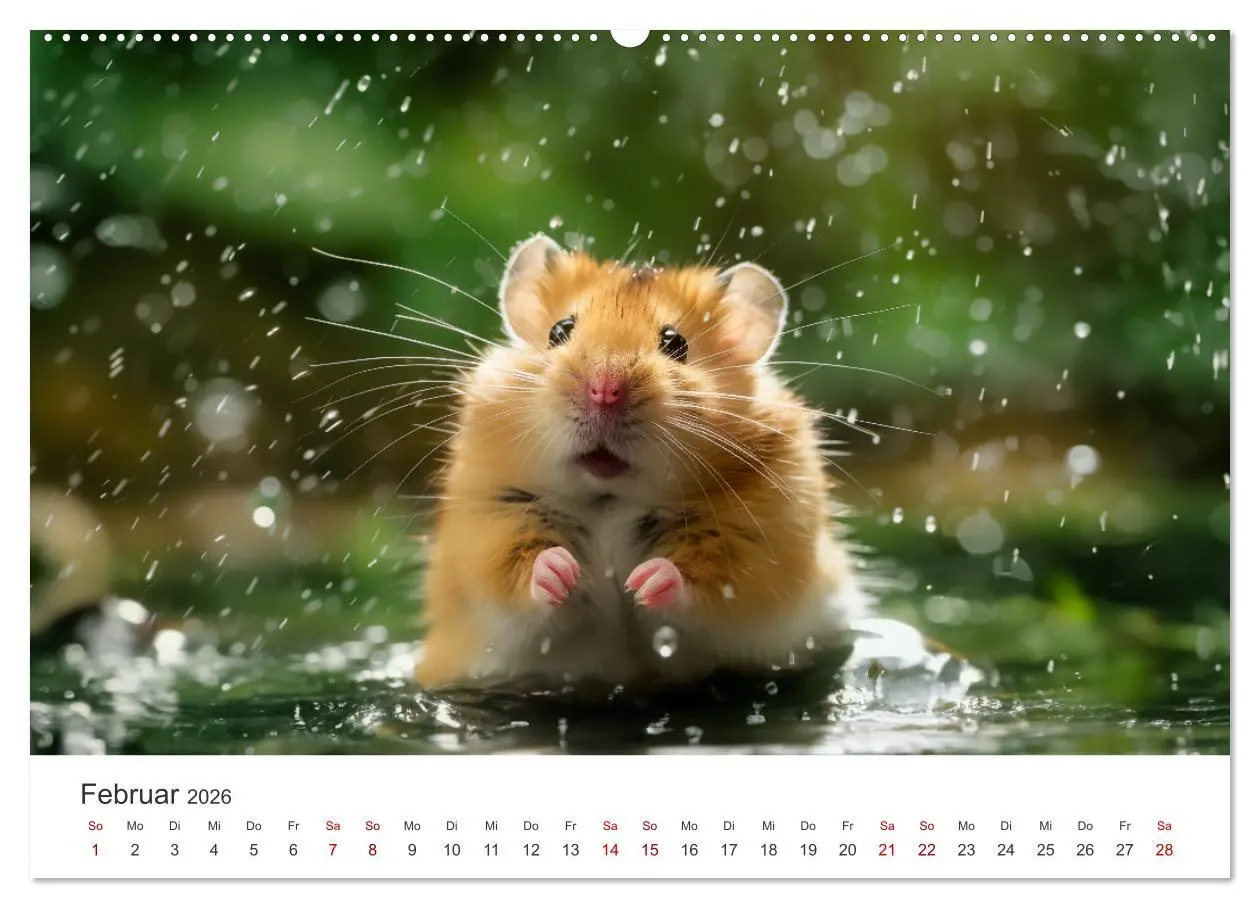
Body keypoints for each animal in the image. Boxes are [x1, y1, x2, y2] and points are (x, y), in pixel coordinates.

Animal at [414, 233, 865, 689]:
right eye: (560, 330)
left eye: (676, 343)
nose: (604, 390)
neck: (610, 498)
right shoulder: (491, 522)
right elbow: (516, 572)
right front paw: (564, 572)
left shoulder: (756, 543)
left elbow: (706, 580)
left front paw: (643, 583)